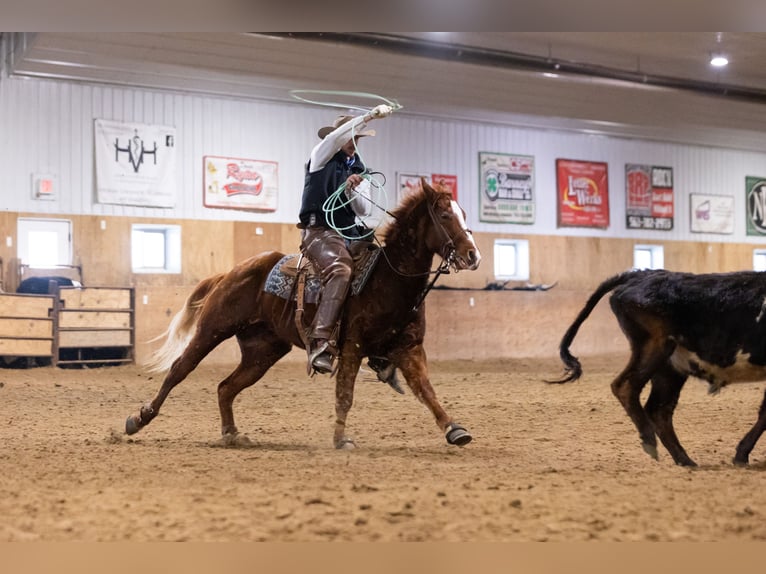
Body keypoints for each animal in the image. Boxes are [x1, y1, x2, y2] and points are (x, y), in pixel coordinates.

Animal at [125, 179, 482, 449]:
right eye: (445, 215)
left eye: (463, 214)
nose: (472, 255)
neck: (387, 280)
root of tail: (231, 272)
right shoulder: (351, 346)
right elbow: (345, 394)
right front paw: (340, 439)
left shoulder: (409, 348)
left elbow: (426, 390)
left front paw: (455, 429)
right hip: (213, 329)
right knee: (179, 370)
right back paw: (139, 418)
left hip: (262, 352)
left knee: (226, 387)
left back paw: (232, 434)